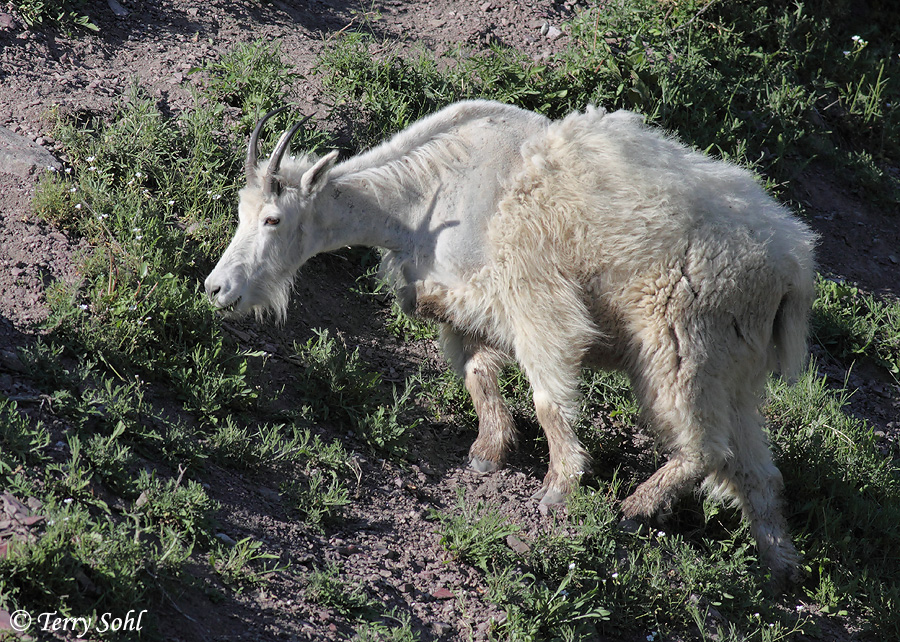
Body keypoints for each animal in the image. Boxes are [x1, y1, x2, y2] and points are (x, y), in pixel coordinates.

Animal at [205, 100, 817, 585]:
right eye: (239, 212)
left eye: (272, 218)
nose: (217, 288)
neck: (429, 196)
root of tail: (792, 268)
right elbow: (476, 370)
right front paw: (488, 451)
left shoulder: (533, 297)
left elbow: (548, 397)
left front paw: (558, 487)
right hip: (737, 366)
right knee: (756, 469)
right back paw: (781, 567)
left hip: (682, 343)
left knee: (705, 444)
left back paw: (635, 508)